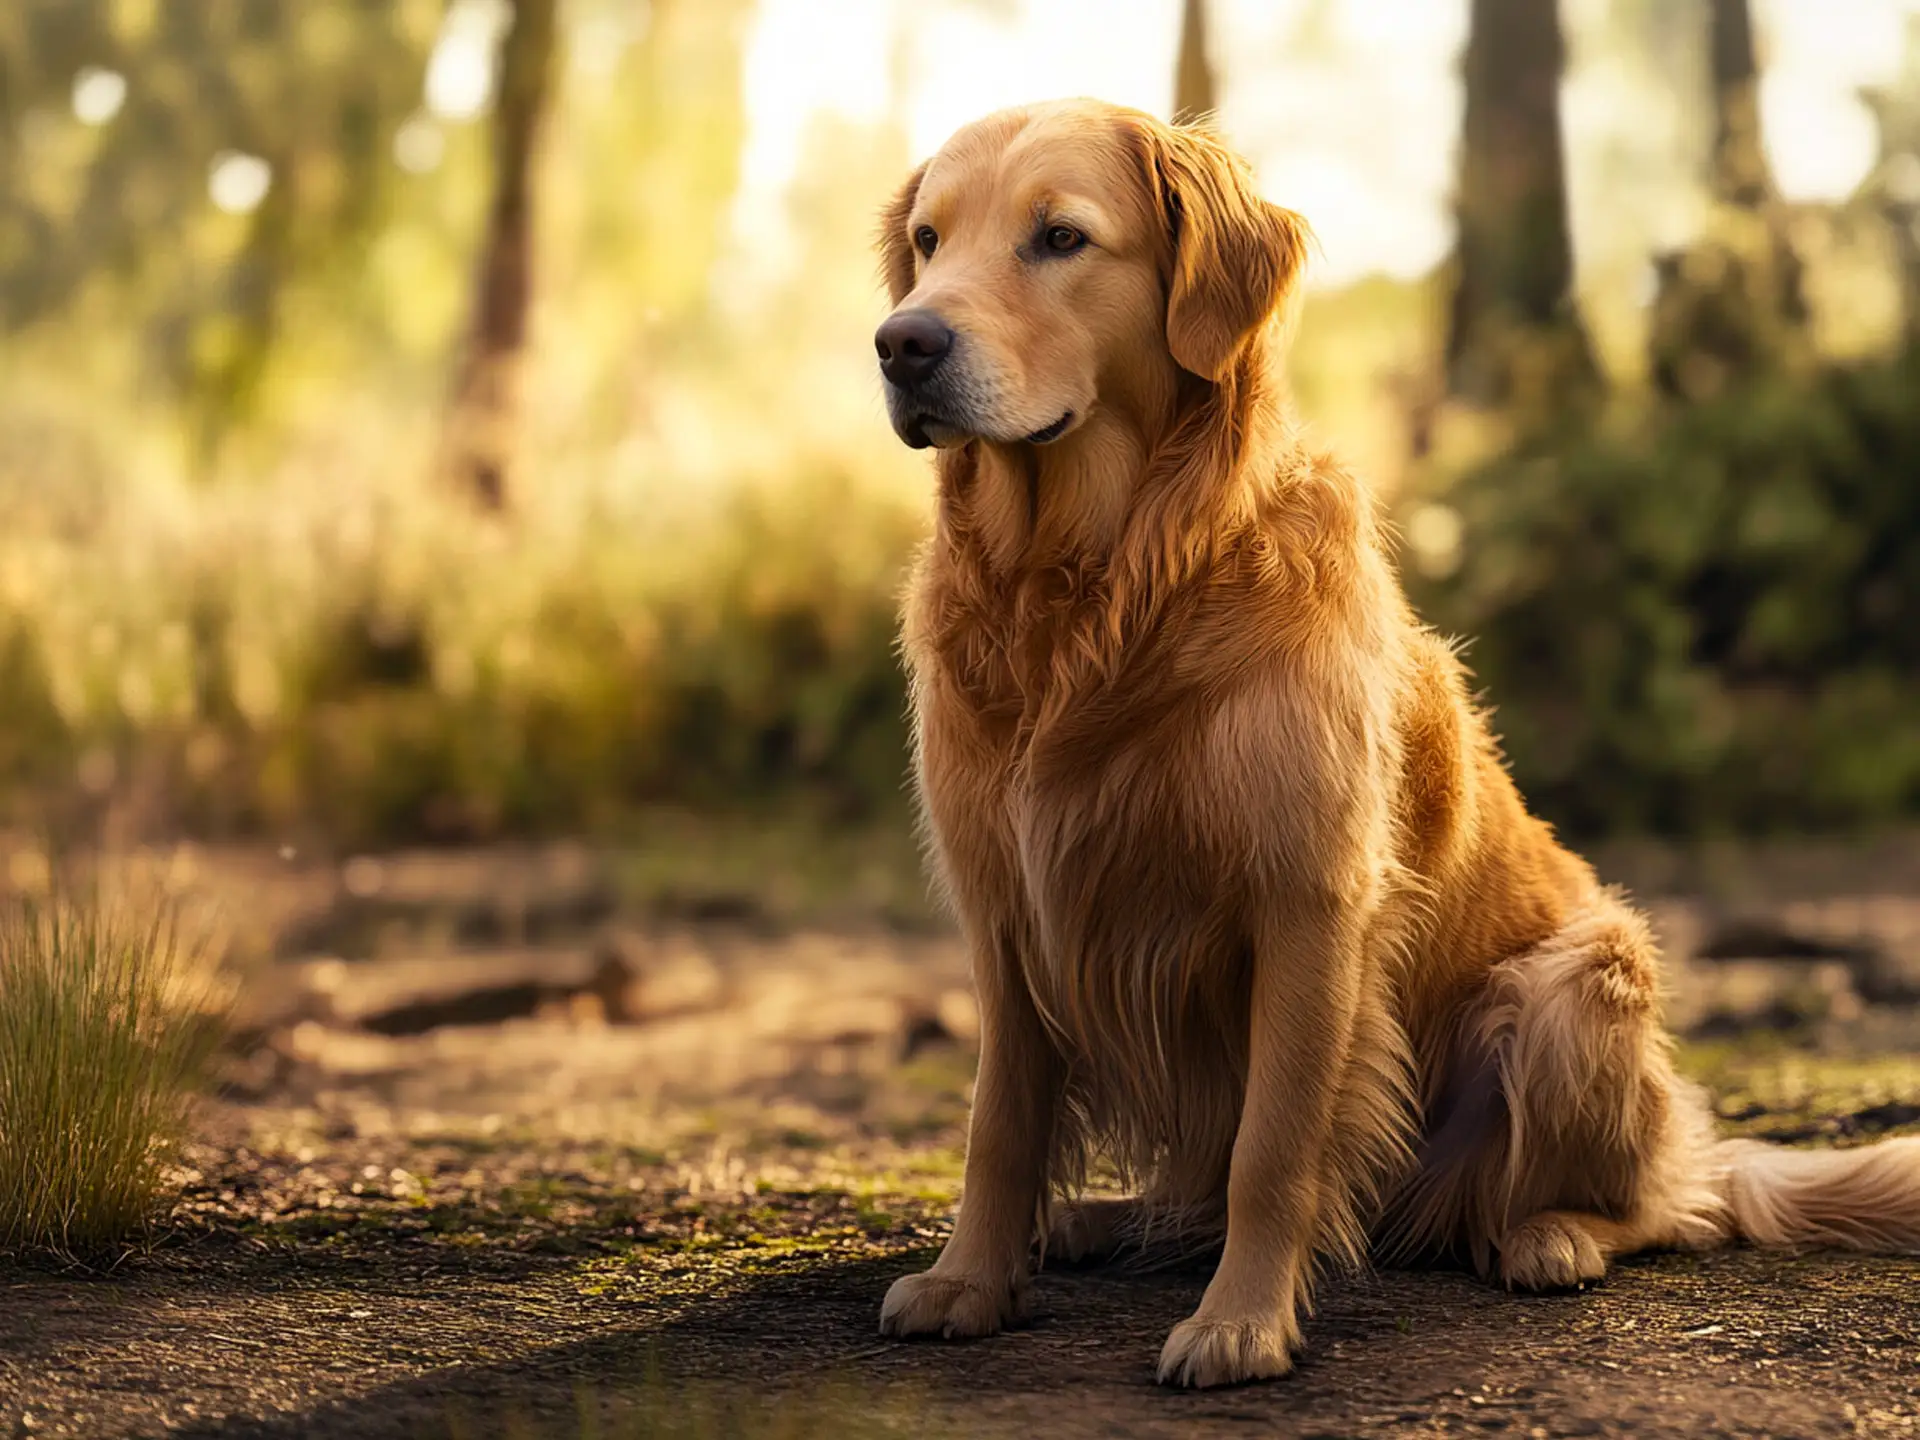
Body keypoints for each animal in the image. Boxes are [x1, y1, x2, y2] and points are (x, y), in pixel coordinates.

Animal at [871, 98, 1920, 1390]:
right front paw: (972, 1281)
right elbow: (999, 1122)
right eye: (928, 241)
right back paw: (1097, 1223)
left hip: (1579, 982)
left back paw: (1551, 1234)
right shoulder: (1006, 903)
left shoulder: (1308, 902)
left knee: (1661, 1207)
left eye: (1060, 238)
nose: (901, 344)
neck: (1098, 590)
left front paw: (1242, 1323)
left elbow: (1274, 1145)